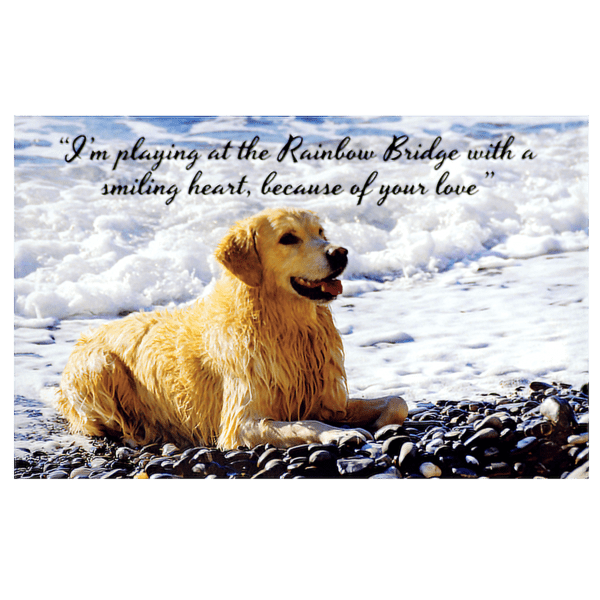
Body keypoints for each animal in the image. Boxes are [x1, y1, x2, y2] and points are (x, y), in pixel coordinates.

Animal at [56, 209, 408, 448]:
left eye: (321, 232)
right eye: (288, 238)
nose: (340, 252)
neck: (286, 325)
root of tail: (84, 337)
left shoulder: (326, 398)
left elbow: (398, 402)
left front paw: (381, 425)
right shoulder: (240, 422)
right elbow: (306, 424)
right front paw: (341, 434)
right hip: (100, 366)